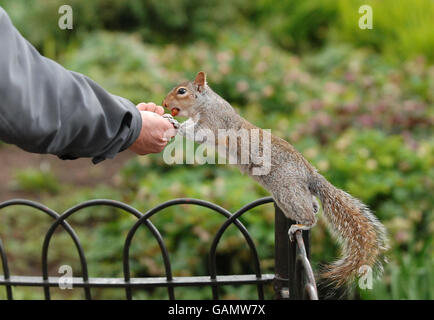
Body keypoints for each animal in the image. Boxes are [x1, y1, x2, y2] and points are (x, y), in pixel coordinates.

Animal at [164, 71, 390, 286]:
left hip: (286, 192)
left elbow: (197, 132)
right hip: (295, 190)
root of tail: (308, 173)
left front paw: (175, 124)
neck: (206, 103)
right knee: (311, 203)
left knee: (309, 216)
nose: (165, 104)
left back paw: (301, 225)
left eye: (182, 91)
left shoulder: (213, 123)